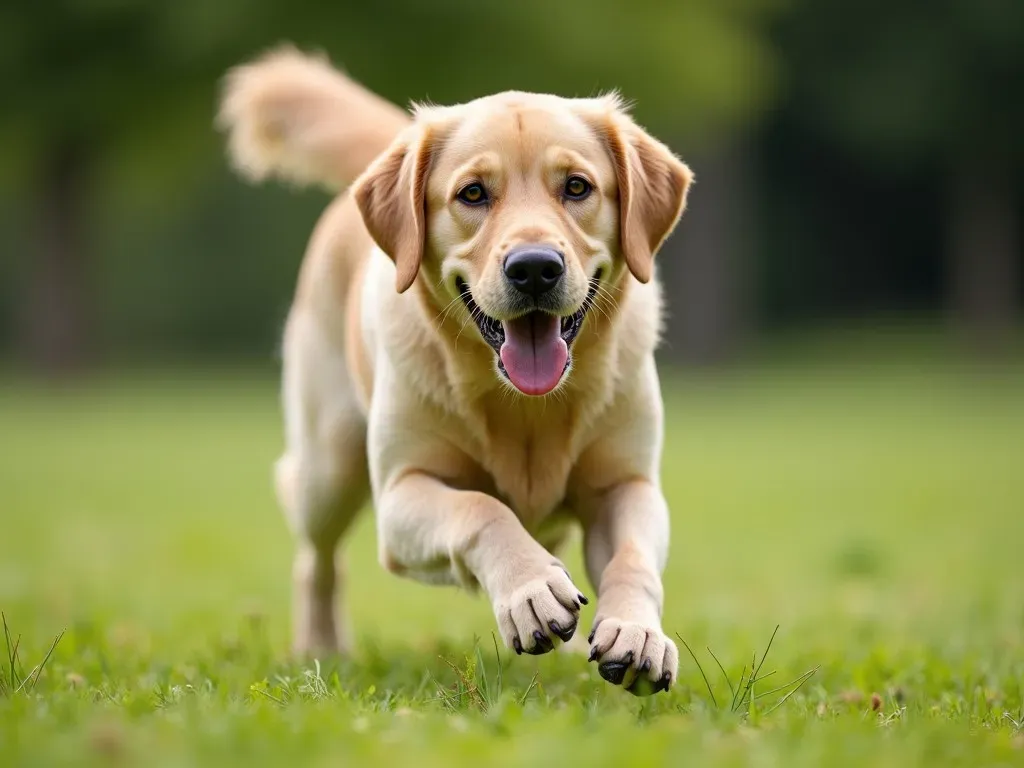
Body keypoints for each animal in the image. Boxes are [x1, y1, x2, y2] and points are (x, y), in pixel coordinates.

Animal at [217, 46, 696, 696]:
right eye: (472, 194)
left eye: (577, 187)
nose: (535, 267)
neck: (524, 407)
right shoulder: (402, 494)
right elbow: (481, 509)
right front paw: (530, 590)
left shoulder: (627, 485)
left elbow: (632, 559)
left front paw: (636, 632)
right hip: (330, 466)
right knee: (316, 559)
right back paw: (319, 648)